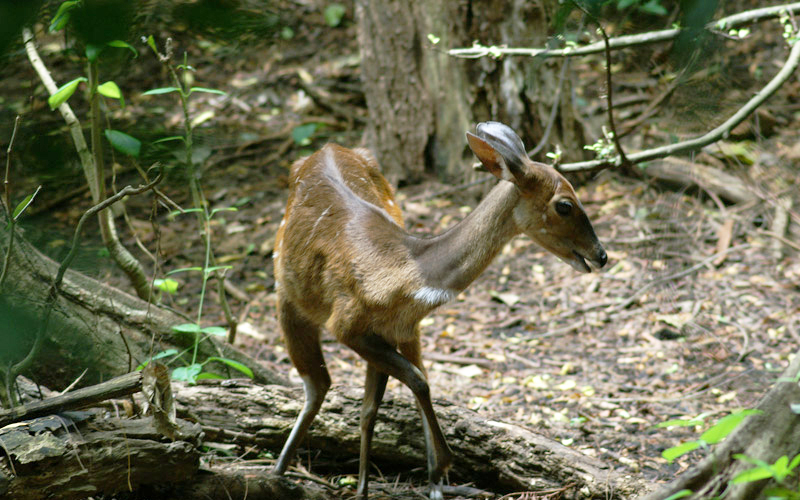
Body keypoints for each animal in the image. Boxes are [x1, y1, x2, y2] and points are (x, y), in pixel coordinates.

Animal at [270, 122, 608, 500]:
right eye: (565, 205)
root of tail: (325, 146)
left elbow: (379, 404)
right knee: (318, 384)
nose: (601, 255)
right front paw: (441, 464)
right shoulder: (346, 324)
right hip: (287, 296)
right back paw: (276, 472)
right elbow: (415, 382)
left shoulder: (398, 328)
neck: (406, 273)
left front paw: (399, 483)